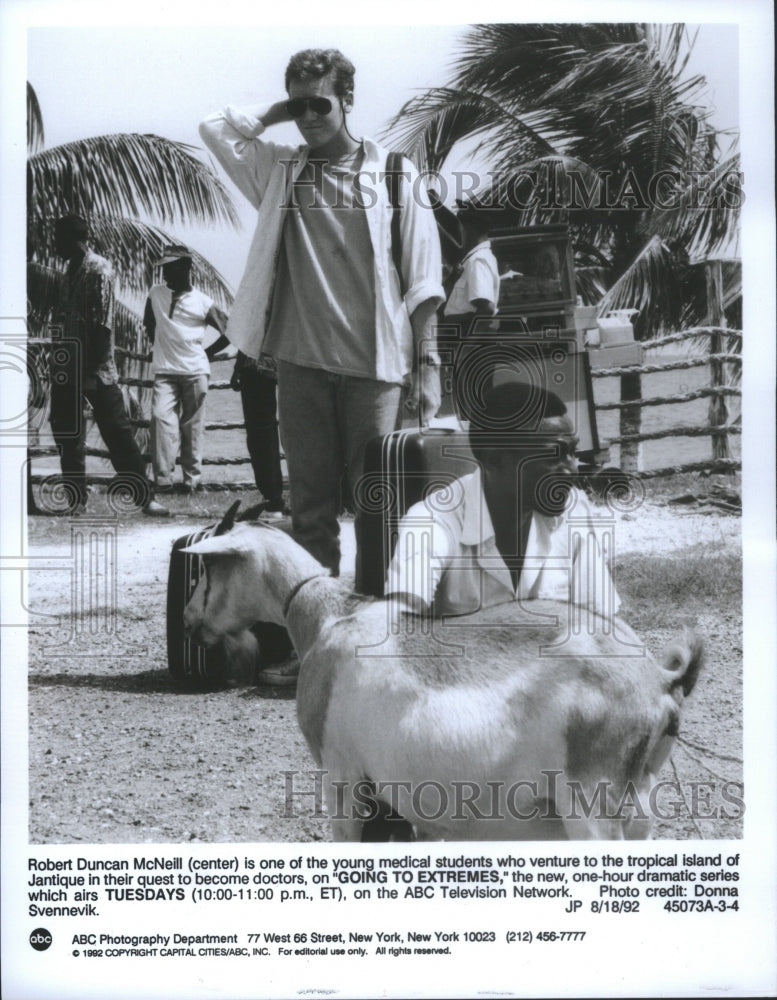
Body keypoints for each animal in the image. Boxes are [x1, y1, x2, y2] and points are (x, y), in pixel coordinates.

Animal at [183, 520, 704, 840]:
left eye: (209, 566)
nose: (190, 621)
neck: (332, 618)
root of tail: (659, 679)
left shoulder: (343, 775)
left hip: (591, 808)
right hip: (638, 809)